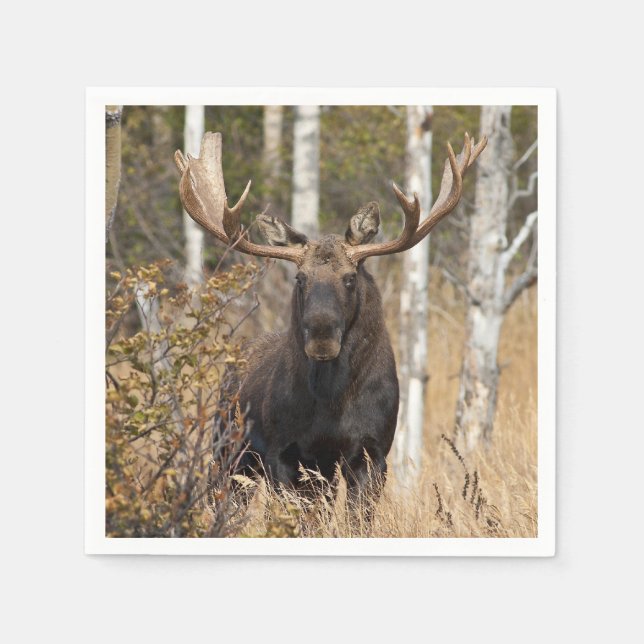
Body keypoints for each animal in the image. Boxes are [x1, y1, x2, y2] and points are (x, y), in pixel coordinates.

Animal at [174, 129, 486, 510]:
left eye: (350, 278)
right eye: (300, 278)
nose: (322, 336)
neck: (331, 403)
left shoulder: (373, 452)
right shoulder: (285, 454)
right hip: (228, 450)